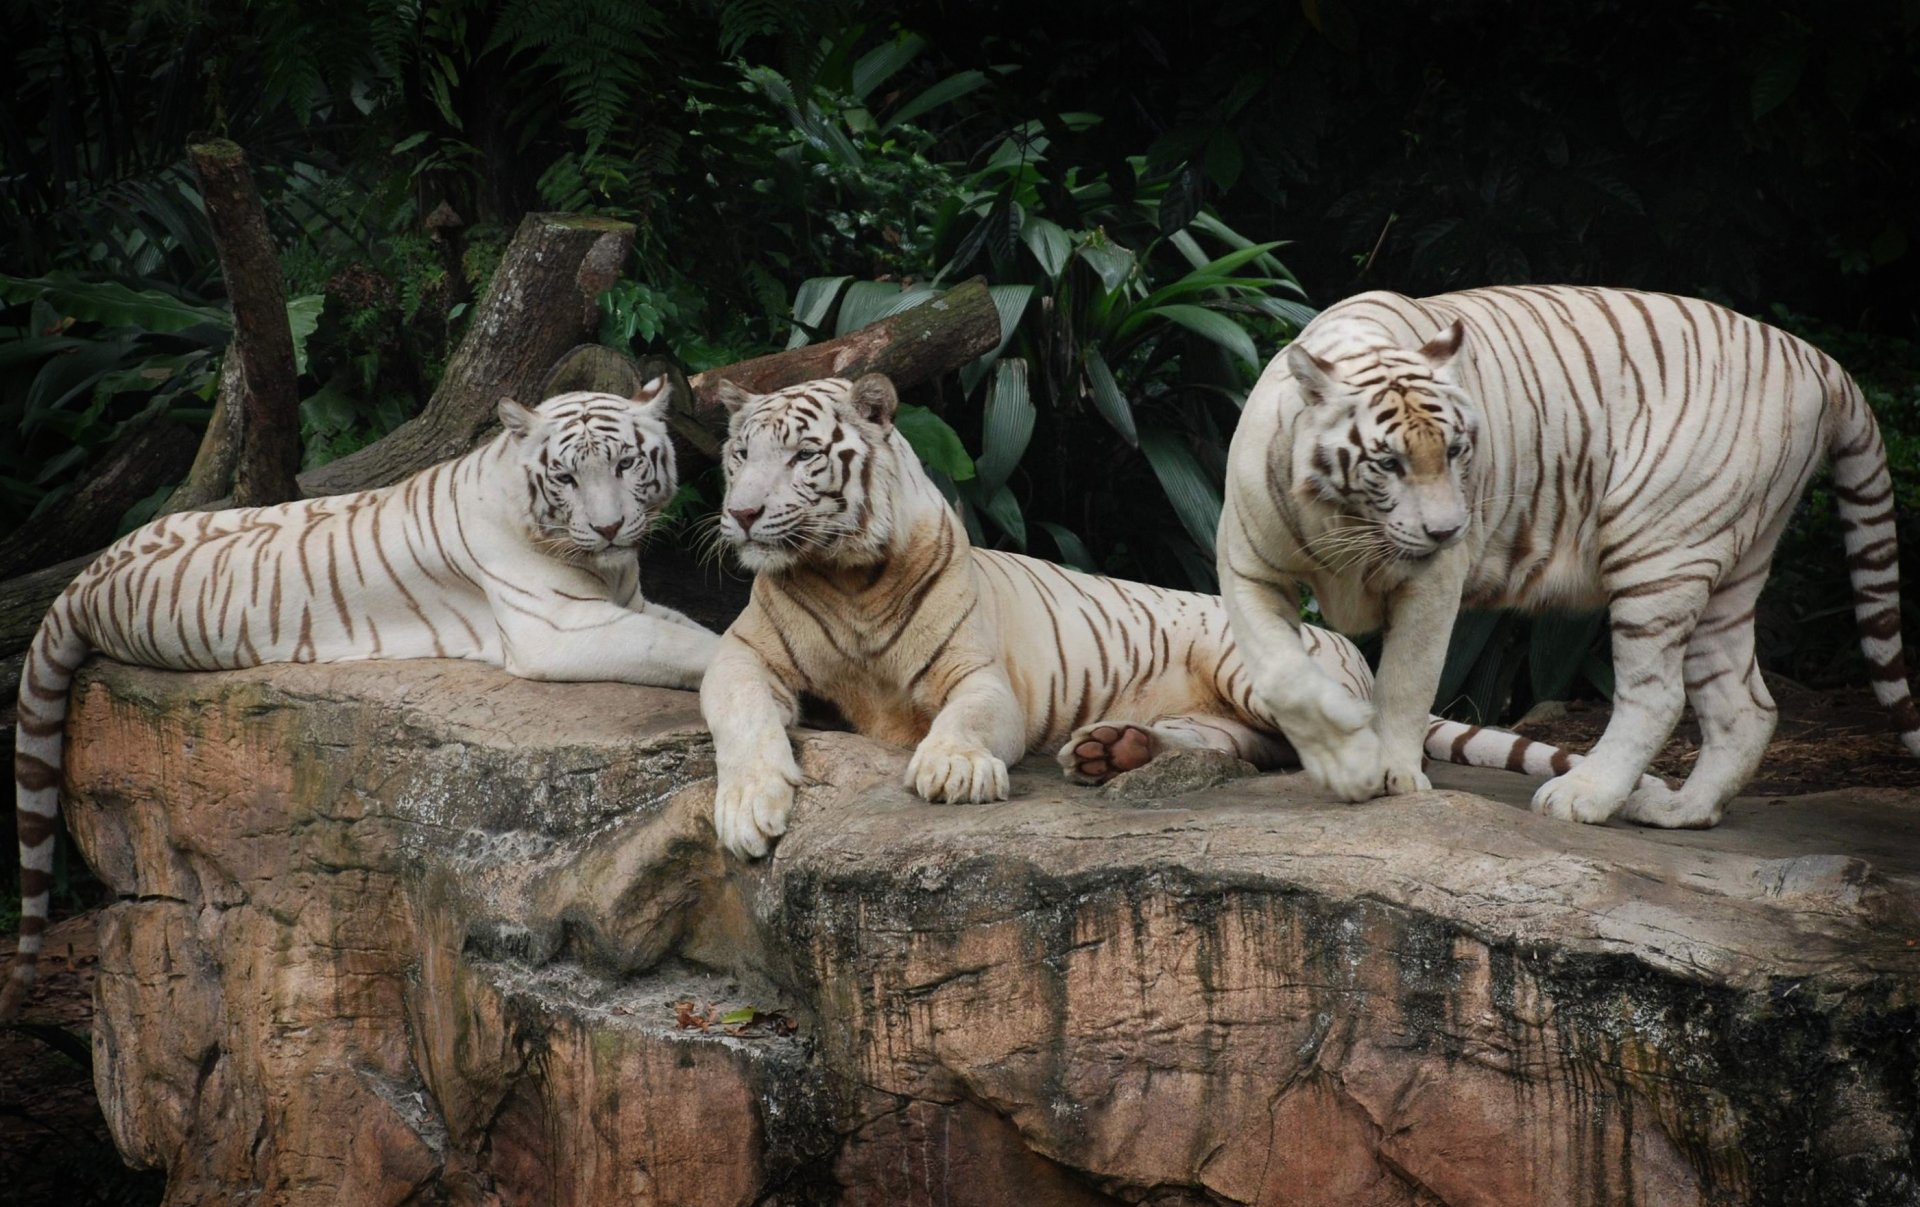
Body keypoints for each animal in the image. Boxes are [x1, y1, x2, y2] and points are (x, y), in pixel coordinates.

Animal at [2, 379, 718, 1019]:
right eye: (566, 478)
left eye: (625, 463)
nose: (609, 526)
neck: (608, 569)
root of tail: (86, 573)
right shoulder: (559, 627)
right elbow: (685, 646)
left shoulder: (633, 602)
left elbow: (695, 628)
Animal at [696, 372, 1662, 859]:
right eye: (739, 454)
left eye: (804, 456)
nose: (741, 513)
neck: (846, 574)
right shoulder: (742, 655)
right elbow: (741, 717)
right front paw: (747, 807)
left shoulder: (981, 678)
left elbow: (962, 719)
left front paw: (953, 769)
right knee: (1241, 747)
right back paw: (1111, 750)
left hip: (1251, 660)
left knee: (1309, 734)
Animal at [1217, 284, 1919, 831]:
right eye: (1389, 463)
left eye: (1455, 450)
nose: (1448, 530)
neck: (1347, 521)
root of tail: (1820, 360)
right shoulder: (1247, 565)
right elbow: (1282, 676)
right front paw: (1342, 759)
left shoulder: (1432, 581)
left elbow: (1406, 680)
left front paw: (1388, 770)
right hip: (1731, 567)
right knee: (1746, 705)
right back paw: (1680, 810)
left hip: (1662, 548)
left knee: (1658, 695)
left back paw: (1585, 796)